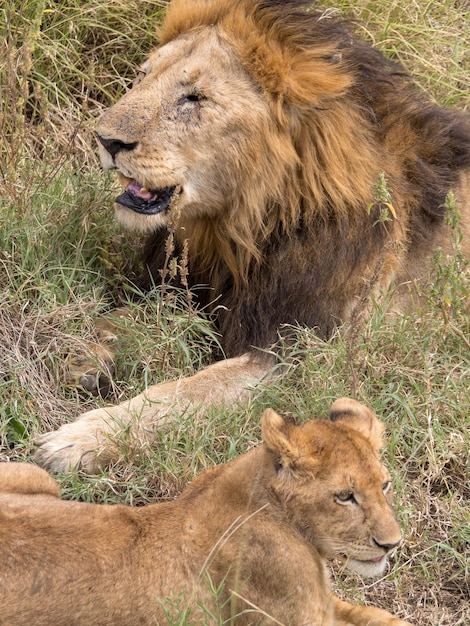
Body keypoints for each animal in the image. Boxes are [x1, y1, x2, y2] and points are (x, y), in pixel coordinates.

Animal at [34, 0, 470, 468]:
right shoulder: (189, 288)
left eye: (195, 98)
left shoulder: (299, 356)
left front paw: (80, 439)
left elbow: (184, 393)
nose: (105, 139)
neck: (240, 231)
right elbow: (124, 319)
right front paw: (80, 354)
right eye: (142, 76)